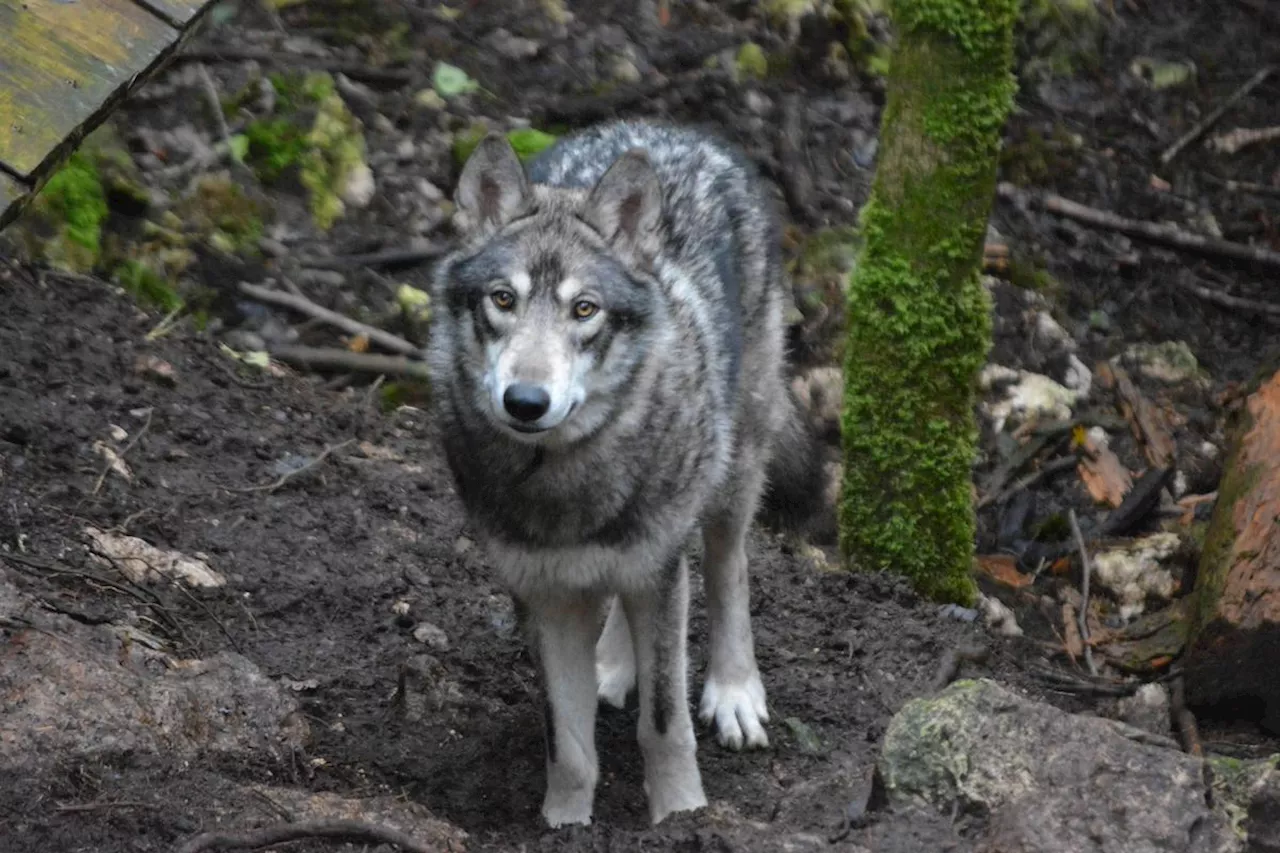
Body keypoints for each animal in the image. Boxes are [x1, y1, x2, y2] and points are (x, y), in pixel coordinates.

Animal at [424, 119, 824, 824]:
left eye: (584, 310)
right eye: (503, 299)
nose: (526, 402)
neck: (559, 479)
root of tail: (675, 129)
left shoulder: (656, 570)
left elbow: (662, 723)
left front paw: (682, 816)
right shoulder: (546, 595)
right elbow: (568, 746)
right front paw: (564, 825)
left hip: (731, 471)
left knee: (728, 567)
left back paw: (734, 691)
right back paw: (612, 665)